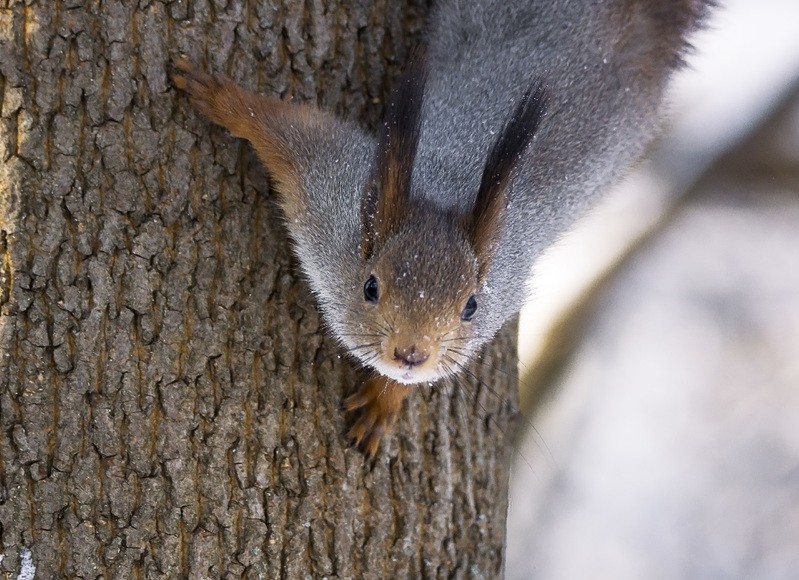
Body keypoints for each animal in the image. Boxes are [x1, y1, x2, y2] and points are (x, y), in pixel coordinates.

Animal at [173, 0, 712, 458]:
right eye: (370, 287)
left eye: (471, 306)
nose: (411, 354)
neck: (443, 191)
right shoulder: (328, 182)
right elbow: (280, 126)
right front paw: (215, 93)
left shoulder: (505, 281)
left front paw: (386, 400)